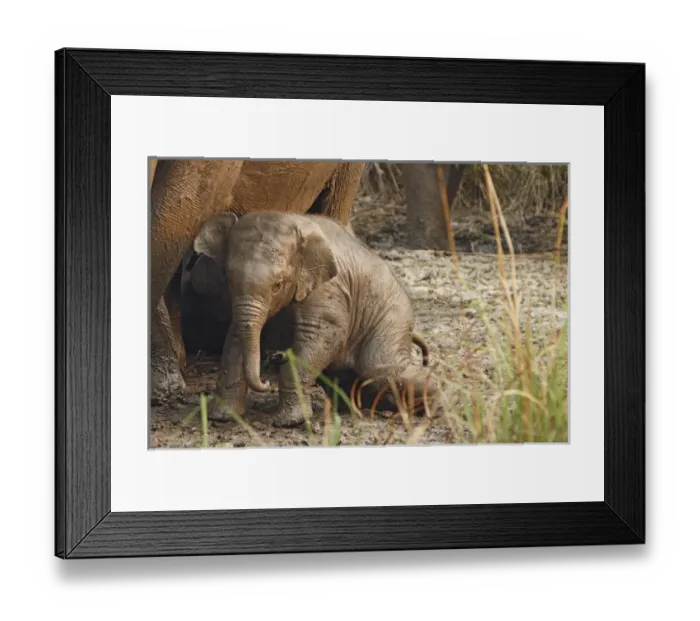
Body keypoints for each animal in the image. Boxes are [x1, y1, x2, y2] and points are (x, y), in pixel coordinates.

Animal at [193, 211, 440, 427]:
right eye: (227, 278)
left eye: (278, 285)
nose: (266, 382)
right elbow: (234, 340)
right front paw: (220, 417)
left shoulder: (328, 289)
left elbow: (323, 336)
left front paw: (289, 422)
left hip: (391, 318)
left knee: (380, 370)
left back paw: (433, 405)